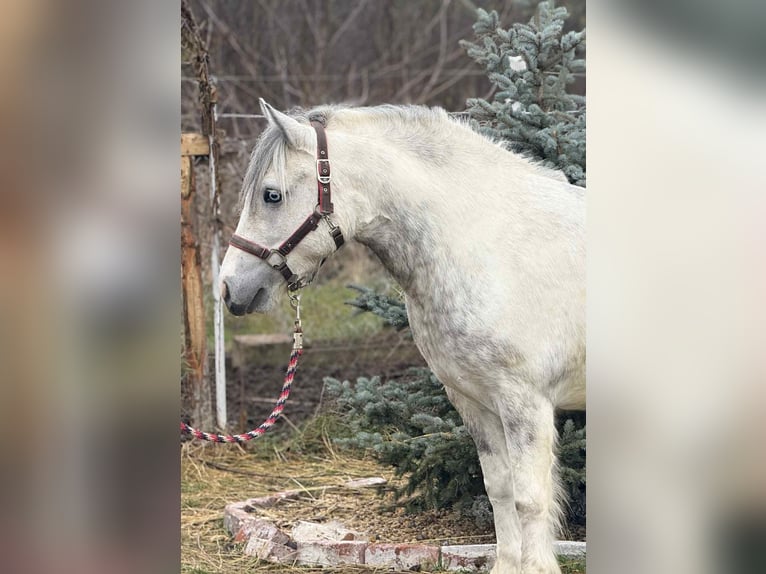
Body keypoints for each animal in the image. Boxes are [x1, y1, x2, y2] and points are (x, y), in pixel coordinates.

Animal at [219, 99, 585, 574]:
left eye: (271, 195)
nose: (230, 289)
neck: (488, 244)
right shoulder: (475, 402)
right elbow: (499, 490)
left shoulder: (526, 404)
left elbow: (530, 500)